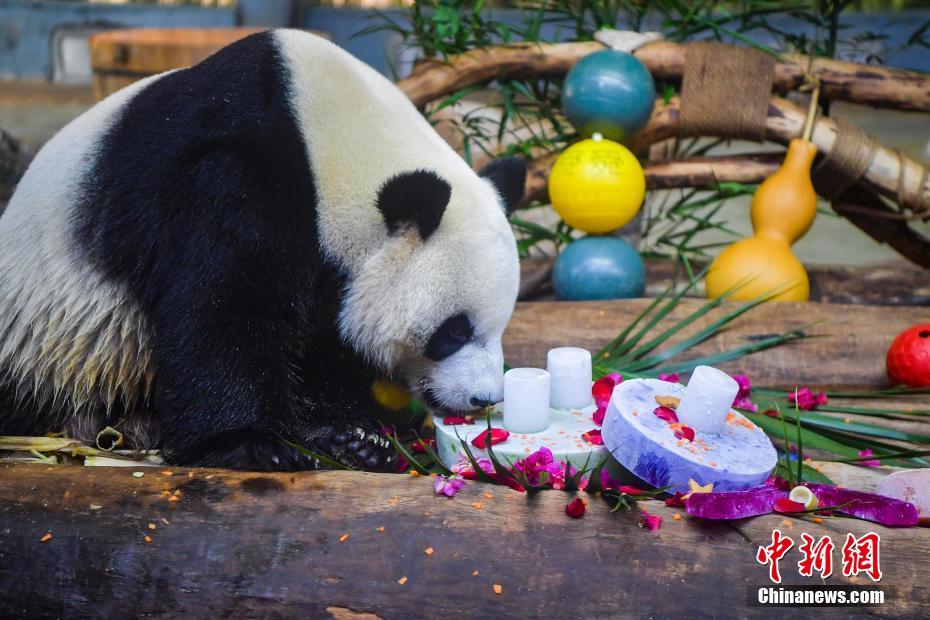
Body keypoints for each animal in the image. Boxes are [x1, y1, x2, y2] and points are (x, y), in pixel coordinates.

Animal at [0, 30, 520, 470]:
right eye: (453, 331)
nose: (484, 398)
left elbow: (322, 341)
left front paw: (352, 437)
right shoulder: (234, 178)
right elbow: (223, 308)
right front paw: (250, 443)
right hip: (46, 334)